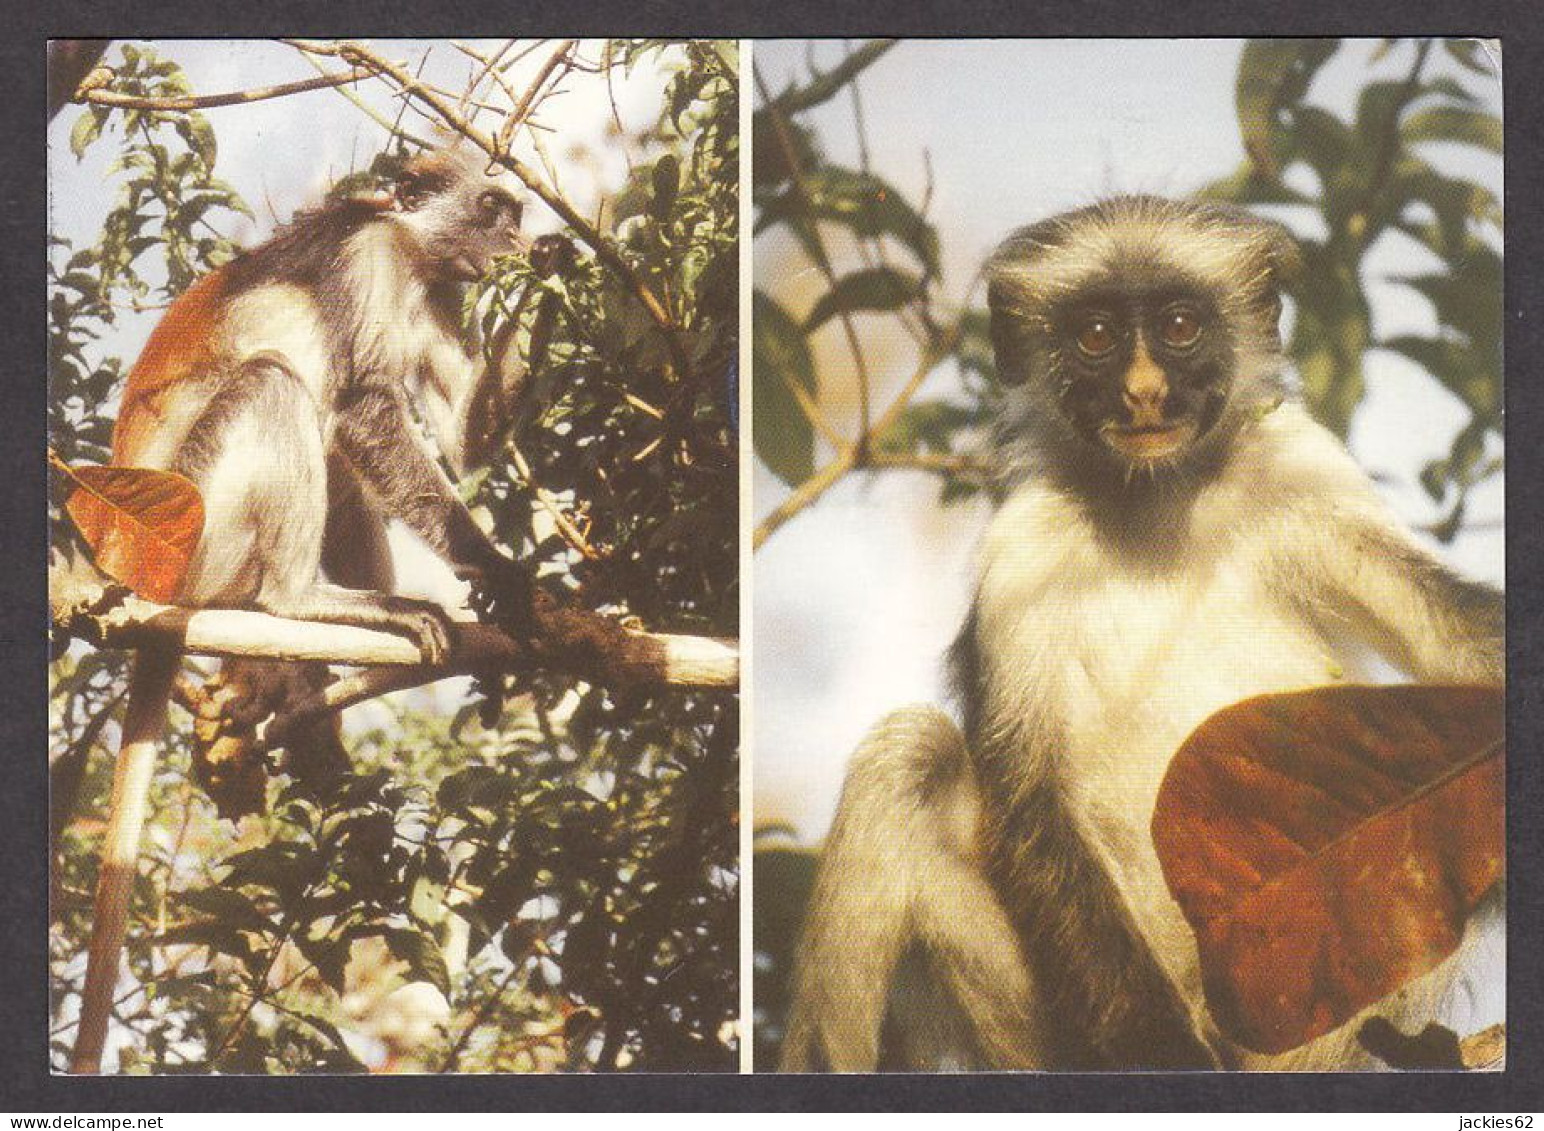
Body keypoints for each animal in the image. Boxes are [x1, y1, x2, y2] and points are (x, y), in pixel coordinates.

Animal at [778, 199, 1500, 1073]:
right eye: (1095, 336)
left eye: (1181, 325)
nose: (1145, 391)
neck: (1157, 497)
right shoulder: (1026, 545)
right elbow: (1030, 794)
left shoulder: (1299, 469)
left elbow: (1460, 644)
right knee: (907, 753)